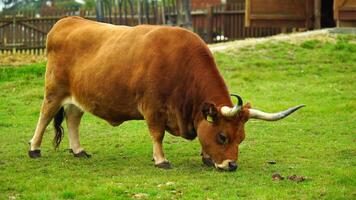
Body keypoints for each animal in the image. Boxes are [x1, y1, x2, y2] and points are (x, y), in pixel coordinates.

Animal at [29, 16, 304, 171]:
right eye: (223, 136)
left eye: (242, 138)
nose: (232, 165)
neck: (181, 66)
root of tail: (66, 21)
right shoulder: (152, 108)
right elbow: (157, 134)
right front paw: (161, 160)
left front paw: (206, 157)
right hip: (54, 91)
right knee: (44, 116)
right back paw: (34, 149)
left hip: (78, 97)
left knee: (73, 118)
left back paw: (78, 150)